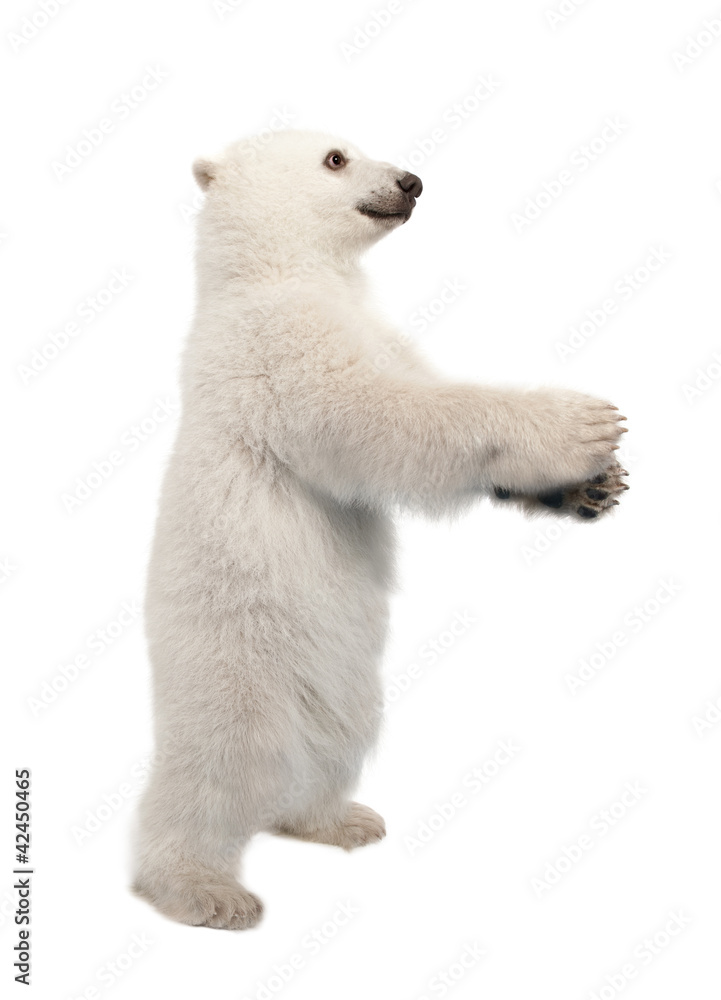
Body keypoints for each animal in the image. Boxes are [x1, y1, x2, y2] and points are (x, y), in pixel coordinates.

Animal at [131, 129, 628, 930]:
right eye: (336, 157)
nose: (412, 181)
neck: (277, 270)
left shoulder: (374, 329)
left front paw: (591, 487)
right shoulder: (273, 344)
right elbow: (374, 412)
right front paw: (579, 425)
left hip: (338, 677)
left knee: (332, 740)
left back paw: (339, 818)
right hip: (236, 658)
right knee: (217, 769)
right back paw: (202, 888)